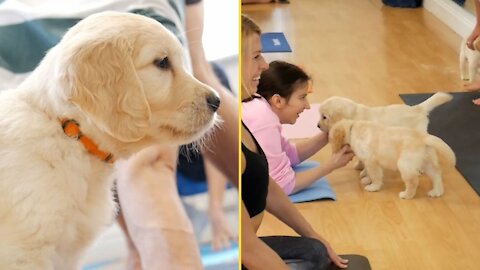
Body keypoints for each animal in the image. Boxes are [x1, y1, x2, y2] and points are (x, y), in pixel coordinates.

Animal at [330, 119, 458, 198]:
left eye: (331, 140)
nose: (333, 151)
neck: (352, 128)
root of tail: (424, 138)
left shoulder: (371, 161)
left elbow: (375, 176)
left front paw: (373, 187)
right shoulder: (370, 161)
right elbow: (369, 173)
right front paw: (367, 179)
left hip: (404, 164)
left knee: (413, 181)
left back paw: (406, 195)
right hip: (427, 163)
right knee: (436, 175)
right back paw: (436, 192)